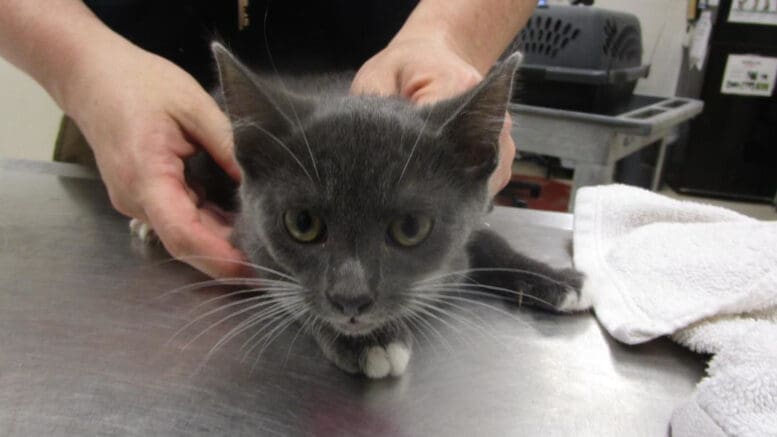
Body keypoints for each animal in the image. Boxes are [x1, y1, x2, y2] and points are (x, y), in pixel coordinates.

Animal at [150, 43, 588, 378]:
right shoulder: (250, 229)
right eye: (302, 224)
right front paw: (369, 342)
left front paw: (554, 280)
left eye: (410, 227)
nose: (351, 299)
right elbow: (287, 287)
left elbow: (488, 238)